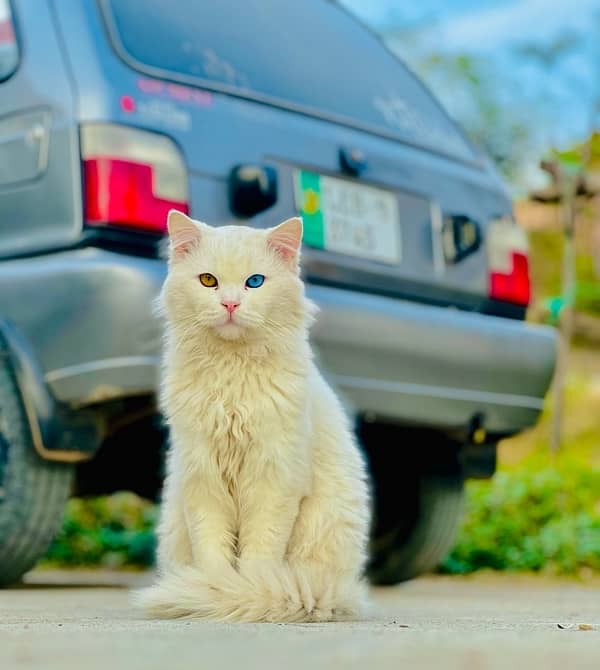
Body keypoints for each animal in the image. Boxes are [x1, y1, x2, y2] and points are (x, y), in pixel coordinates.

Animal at [135, 211, 370, 624]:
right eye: (208, 281)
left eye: (255, 282)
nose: (230, 304)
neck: (232, 377)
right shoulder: (202, 478)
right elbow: (213, 551)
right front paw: (215, 591)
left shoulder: (273, 479)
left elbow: (261, 554)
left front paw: (245, 593)